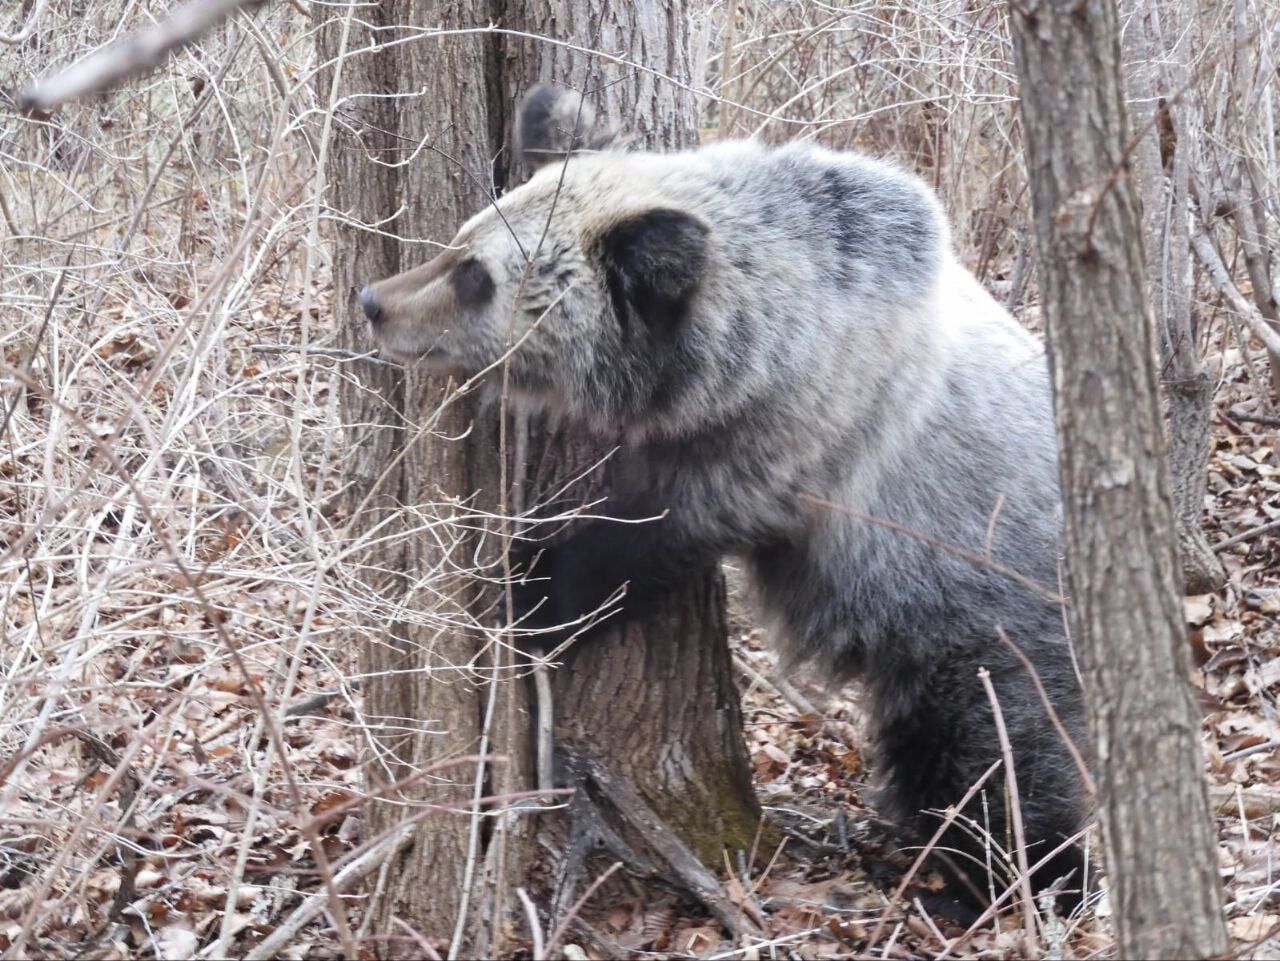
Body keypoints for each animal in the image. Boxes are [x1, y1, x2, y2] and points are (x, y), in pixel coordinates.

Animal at [360, 84, 1090, 916]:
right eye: (461, 240)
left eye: (475, 276)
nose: (374, 301)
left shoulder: (805, 436)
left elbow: (658, 529)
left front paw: (532, 585)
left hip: (980, 610)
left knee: (995, 754)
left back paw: (1019, 878)